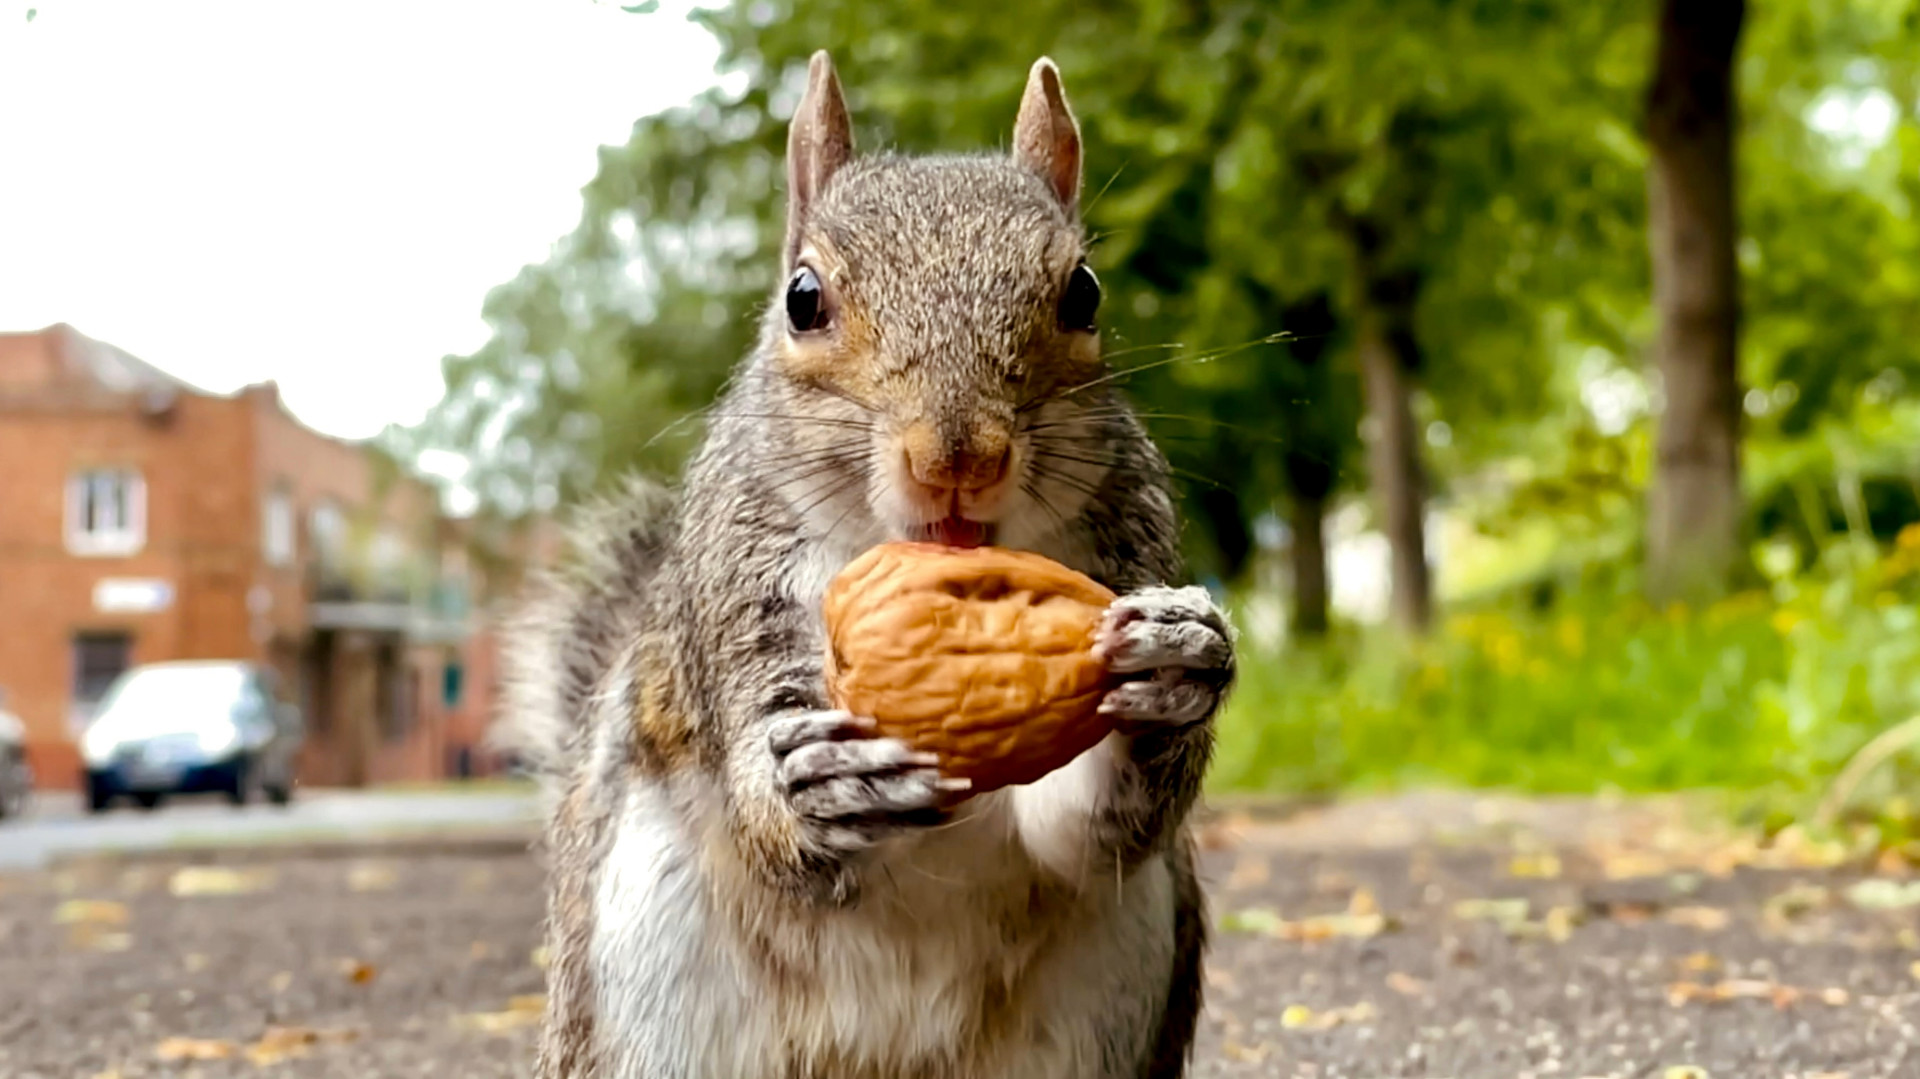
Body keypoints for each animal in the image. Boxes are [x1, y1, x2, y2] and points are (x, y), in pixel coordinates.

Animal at [499, 50, 1236, 1079]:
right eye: (803, 299)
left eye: (1084, 292)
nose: (957, 458)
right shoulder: (736, 594)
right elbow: (769, 816)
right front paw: (811, 787)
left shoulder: (1129, 539)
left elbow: (1086, 829)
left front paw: (1172, 662)